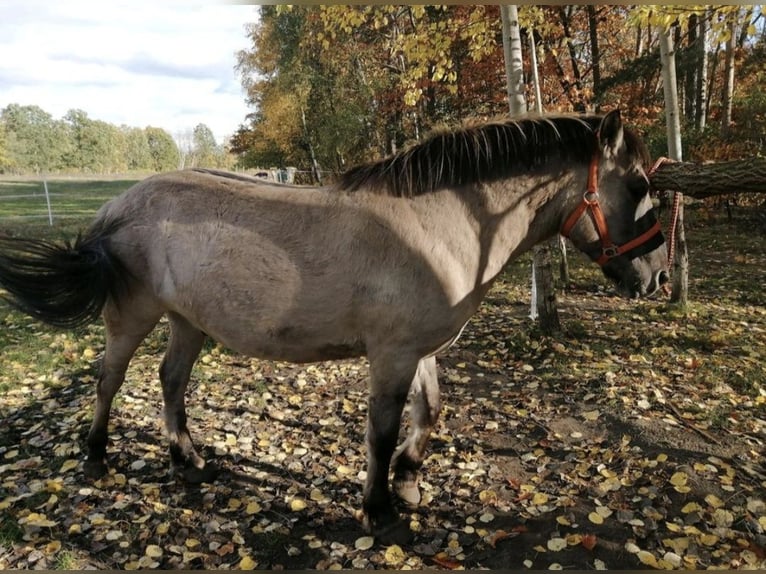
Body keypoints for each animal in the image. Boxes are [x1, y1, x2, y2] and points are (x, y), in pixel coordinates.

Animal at [0, 111, 668, 544]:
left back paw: (187, 458)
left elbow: (430, 412)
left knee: (170, 381)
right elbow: (381, 431)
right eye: (637, 185)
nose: (658, 275)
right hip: (132, 316)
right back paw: (96, 456)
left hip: (188, 321)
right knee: (109, 379)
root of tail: (116, 208)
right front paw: (379, 509)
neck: (437, 225)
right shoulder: (391, 354)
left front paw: (409, 480)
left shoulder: (417, 349)